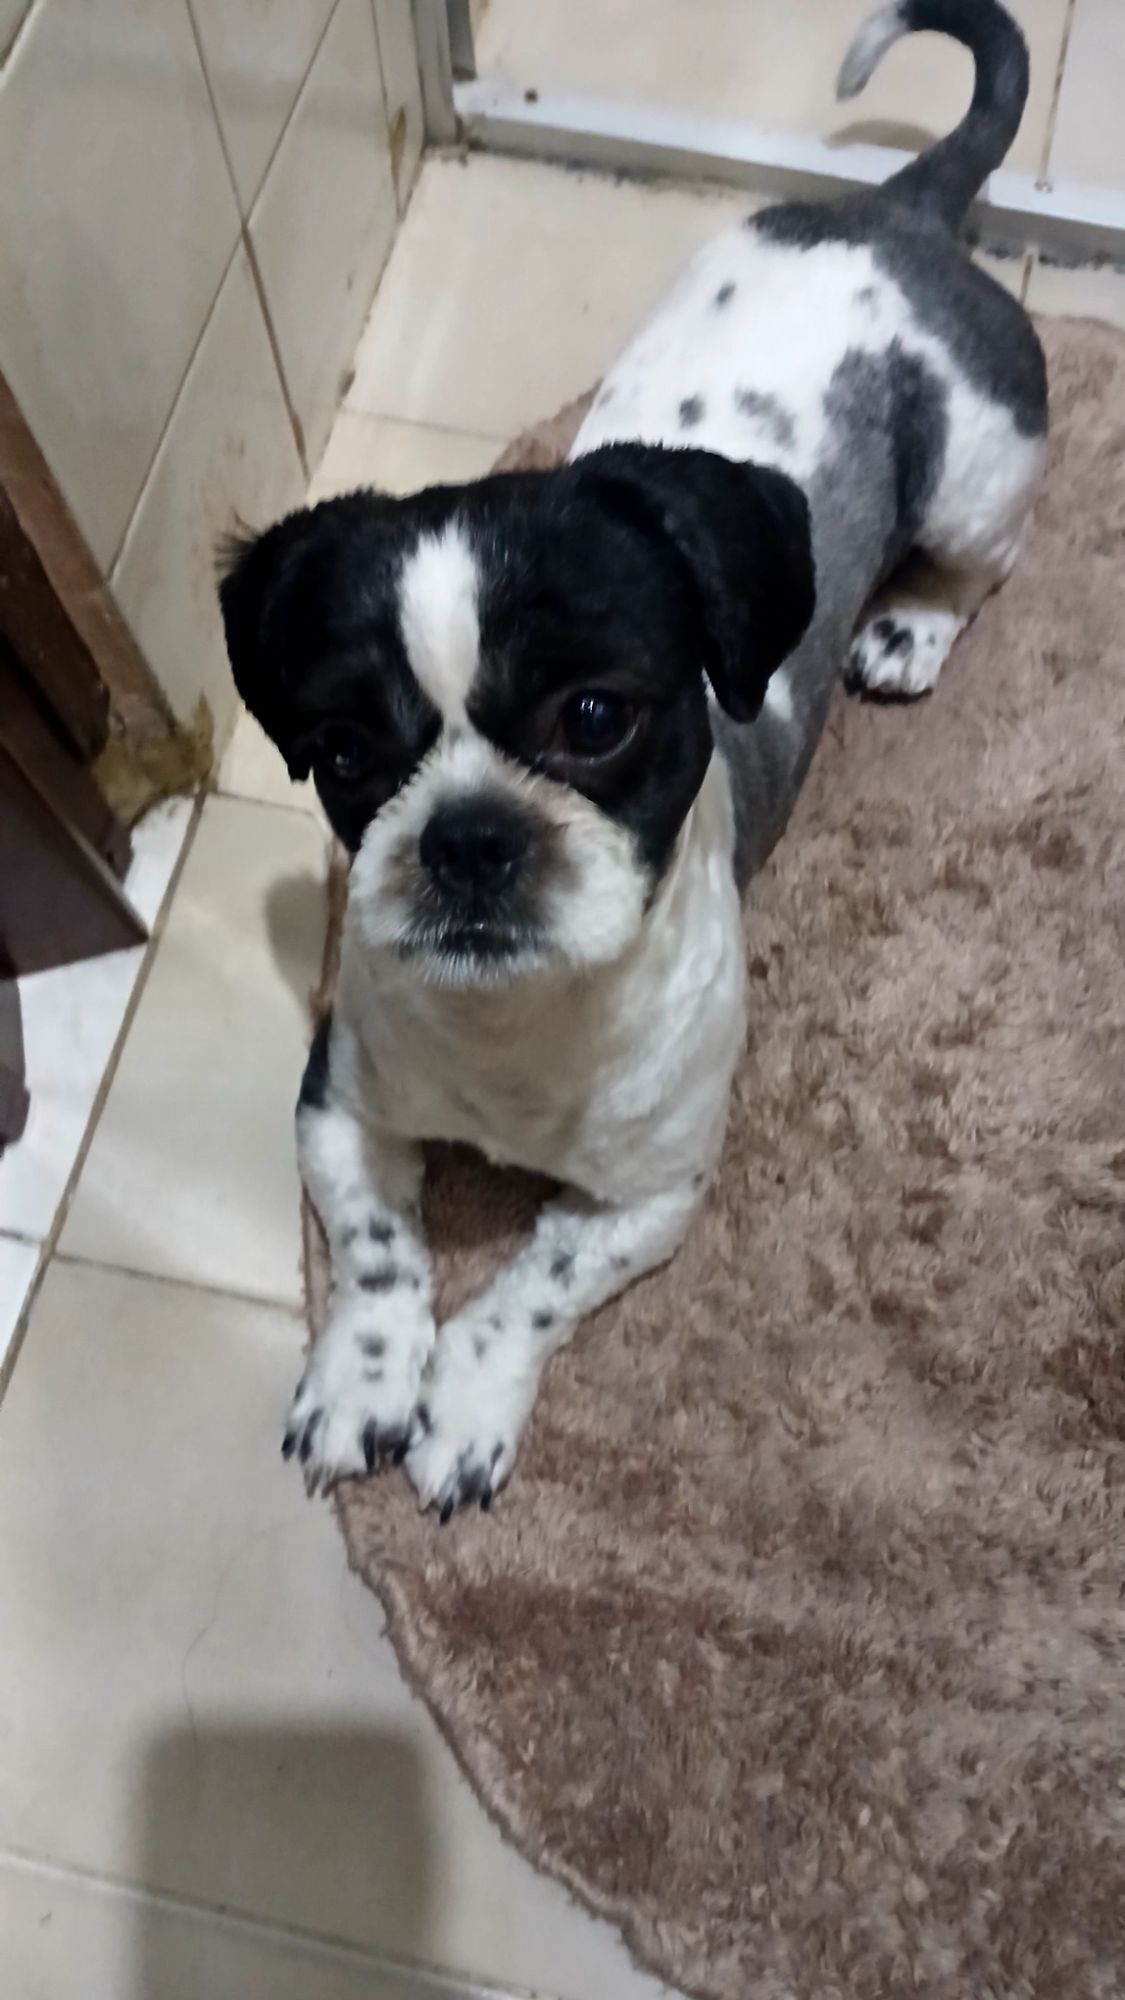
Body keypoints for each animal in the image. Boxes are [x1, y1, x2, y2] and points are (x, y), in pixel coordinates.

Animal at [220, 0, 1046, 1518]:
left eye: (595, 720)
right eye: (345, 751)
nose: (470, 836)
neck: (520, 1023)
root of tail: (903, 214)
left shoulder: (653, 1194)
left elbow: (532, 1282)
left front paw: (462, 1406)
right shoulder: (340, 1104)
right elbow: (380, 1256)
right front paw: (362, 1384)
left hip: (980, 478)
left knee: (977, 562)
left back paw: (910, 626)